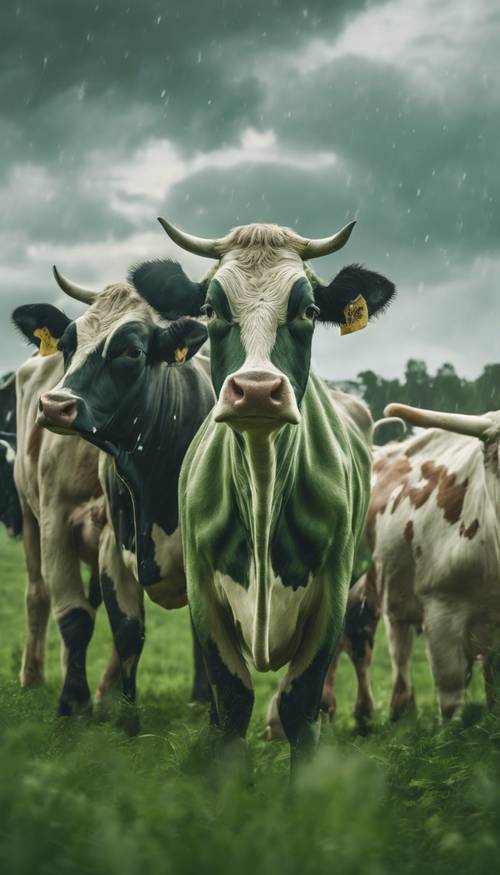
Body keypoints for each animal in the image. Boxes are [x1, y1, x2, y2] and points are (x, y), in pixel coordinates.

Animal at [14, 272, 214, 720]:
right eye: (67, 344)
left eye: (132, 351)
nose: (56, 405)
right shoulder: (58, 521)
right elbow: (76, 618)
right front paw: (72, 705)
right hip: (29, 515)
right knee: (38, 595)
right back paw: (34, 677)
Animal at [131, 219, 396, 772]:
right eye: (211, 309)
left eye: (309, 311)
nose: (255, 390)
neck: (262, 481)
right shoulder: (203, 590)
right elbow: (231, 700)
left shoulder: (333, 590)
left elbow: (300, 702)